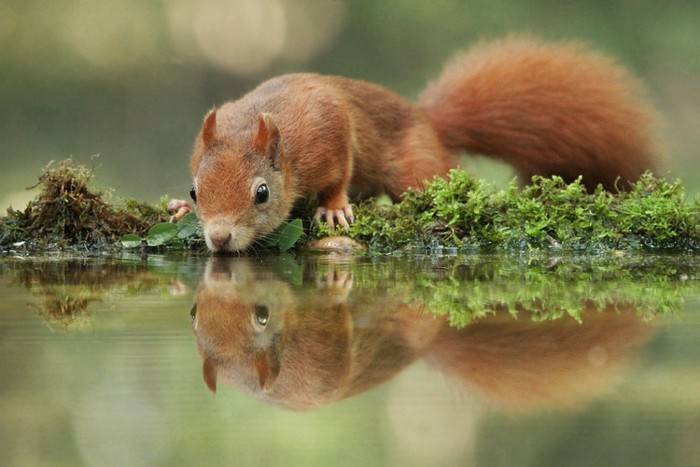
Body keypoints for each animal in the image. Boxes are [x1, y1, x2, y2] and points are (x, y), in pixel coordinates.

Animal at [179, 37, 656, 252]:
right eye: (195, 190)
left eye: (261, 193)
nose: (219, 238)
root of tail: (428, 120)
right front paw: (180, 209)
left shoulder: (327, 131)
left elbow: (340, 172)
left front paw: (333, 208)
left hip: (417, 167)